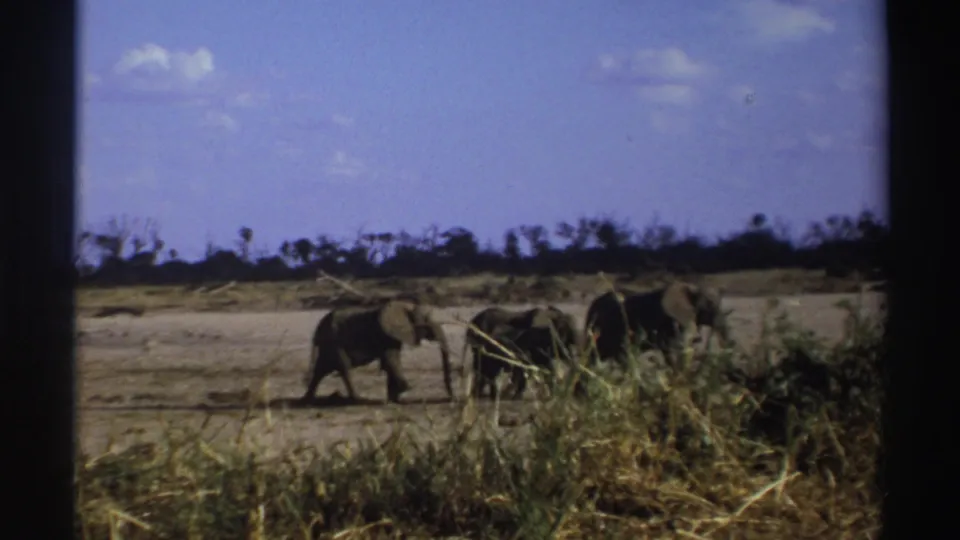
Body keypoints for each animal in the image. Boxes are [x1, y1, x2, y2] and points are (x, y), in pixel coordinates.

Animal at [300, 299, 454, 404]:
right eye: (426, 321)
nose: (452, 398)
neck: (404, 306)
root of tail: (318, 328)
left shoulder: (393, 336)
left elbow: (390, 362)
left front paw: (393, 399)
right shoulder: (385, 335)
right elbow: (391, 360)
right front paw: (406, 389)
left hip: (328, 345)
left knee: (321, 370)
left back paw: (307, 400)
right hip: (334, 342)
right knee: (344, 367)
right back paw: (357, 399)